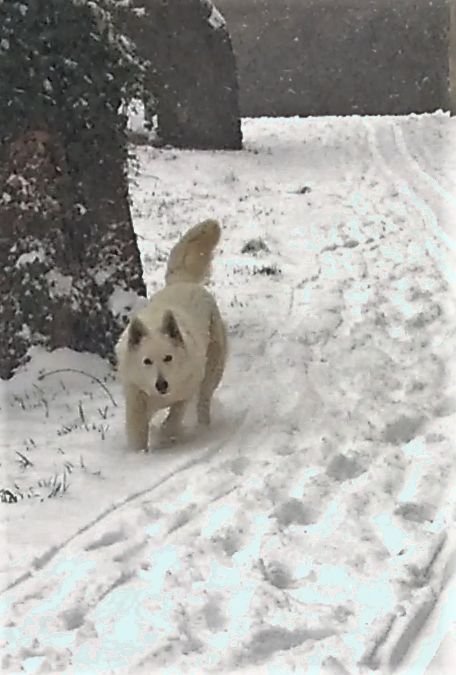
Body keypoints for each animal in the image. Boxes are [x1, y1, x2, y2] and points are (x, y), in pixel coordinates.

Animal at [116, 222, 226, 452]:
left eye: (168, 358)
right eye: (147, 361)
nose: (162, 385)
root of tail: (182, 282)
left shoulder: (185, 390)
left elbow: (174, 417)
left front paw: (166, 436)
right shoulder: (135, 399)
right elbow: (138, 434)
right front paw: (139, 455)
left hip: (212, 370)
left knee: (204, 401)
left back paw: (203, 428)